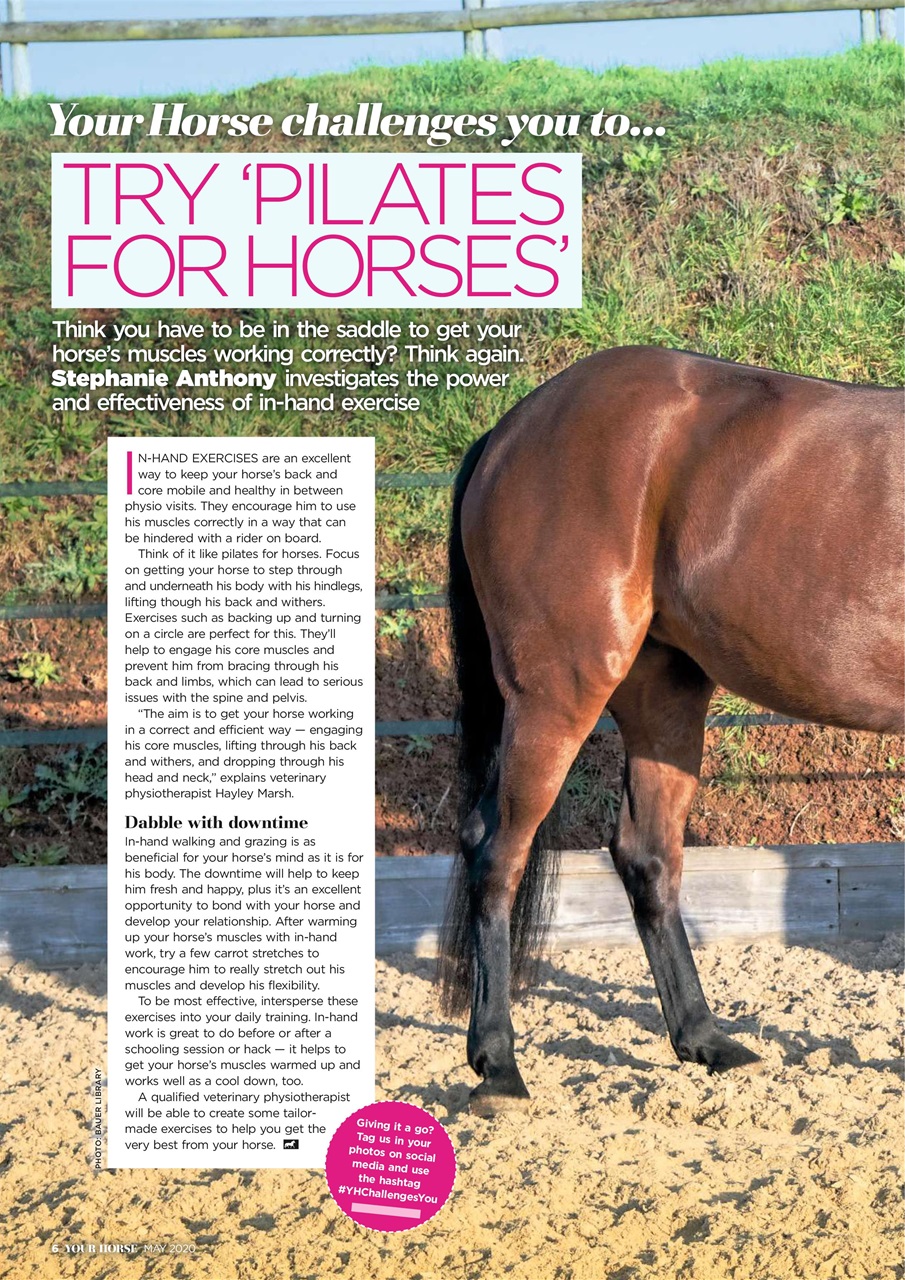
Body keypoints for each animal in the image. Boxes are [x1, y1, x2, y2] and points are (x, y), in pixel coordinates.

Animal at [437, 345, 904, 1117]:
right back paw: (498, 1066)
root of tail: (511, 429)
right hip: (556, 695)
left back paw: (704, 1040)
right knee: (496, 854)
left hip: (664, 696)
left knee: (647, 857)